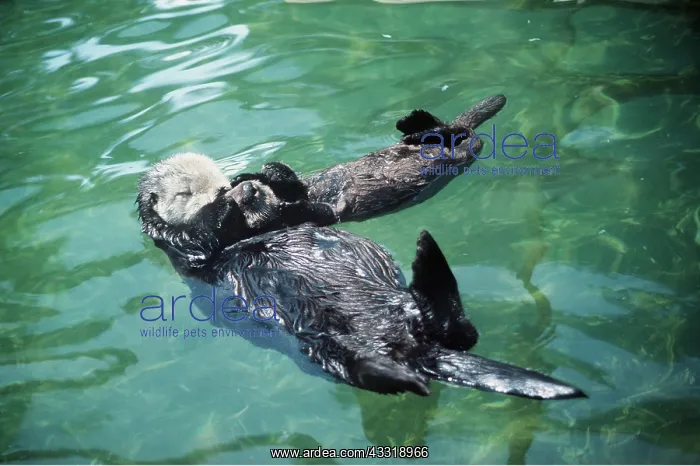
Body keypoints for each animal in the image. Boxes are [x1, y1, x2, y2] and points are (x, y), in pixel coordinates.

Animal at [136, 154, 586, 400]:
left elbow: (312, 209)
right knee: (371, 369)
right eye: (184, 192)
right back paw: (405, 376)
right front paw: (224, 204)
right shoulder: (183, 249)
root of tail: (415, 349)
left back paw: (428, 258)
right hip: (322, 348)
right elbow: (201, 239)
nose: (234, 190)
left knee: (460, 332)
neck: (252, 228)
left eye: (220, 176)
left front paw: (269, 175)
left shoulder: (305, 213)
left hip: (405, 313)